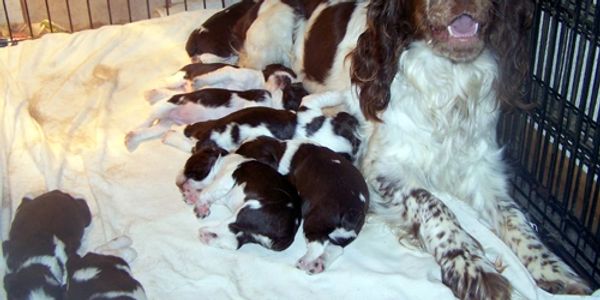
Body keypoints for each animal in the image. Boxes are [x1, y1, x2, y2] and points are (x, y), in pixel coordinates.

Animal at [233, 136, 366, 274]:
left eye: (243, 154)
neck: (281, 150)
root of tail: (353, 211)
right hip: (343, 235)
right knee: (336, 248)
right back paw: (318, 264)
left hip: (316, 220)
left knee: (318, 244)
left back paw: (304, 262)